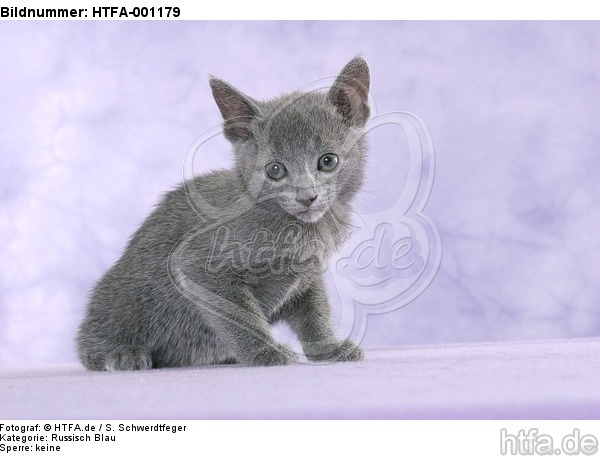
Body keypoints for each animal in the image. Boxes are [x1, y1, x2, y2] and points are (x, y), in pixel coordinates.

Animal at [77, 57, 370, 370]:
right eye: (275, 170)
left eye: (328, 161)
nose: (307, 196)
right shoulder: (198, 266)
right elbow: (241, 315)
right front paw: (265, 352)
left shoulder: (308, 274)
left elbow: (315, 310)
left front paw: (328, 348)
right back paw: (121, 354)